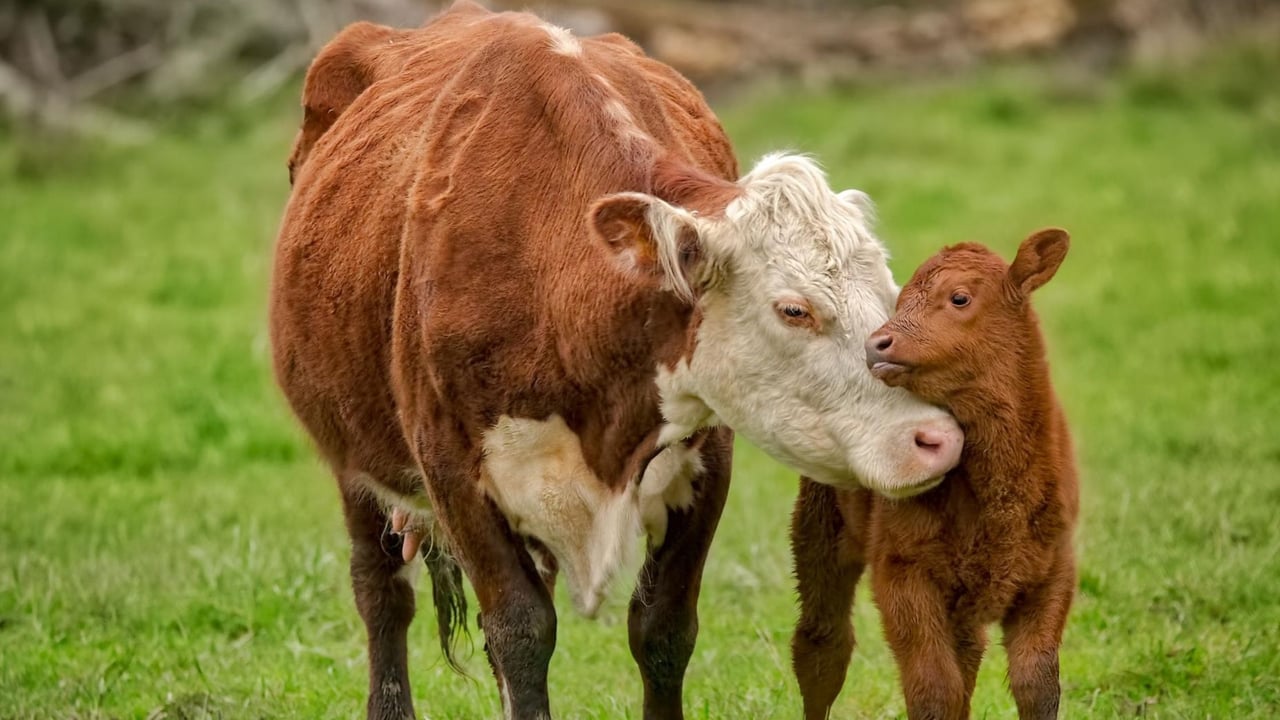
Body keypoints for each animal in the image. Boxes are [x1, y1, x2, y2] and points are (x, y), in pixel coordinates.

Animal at [275, 2, 962, 712]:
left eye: (888, 295)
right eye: (793, 309)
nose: (935, 438)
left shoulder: (707, 460)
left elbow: (661, 628)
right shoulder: (451, 467)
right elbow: (519, 629)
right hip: (354, 458)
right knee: (381, 590)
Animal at [788, 229, 1080, 717]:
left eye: (959, 298)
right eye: (900, 300)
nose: (876, 343)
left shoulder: (1053, 571)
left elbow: (1036, 682)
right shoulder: (903, 571)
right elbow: (933, 688)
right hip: (818, 530)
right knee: (822, 647)